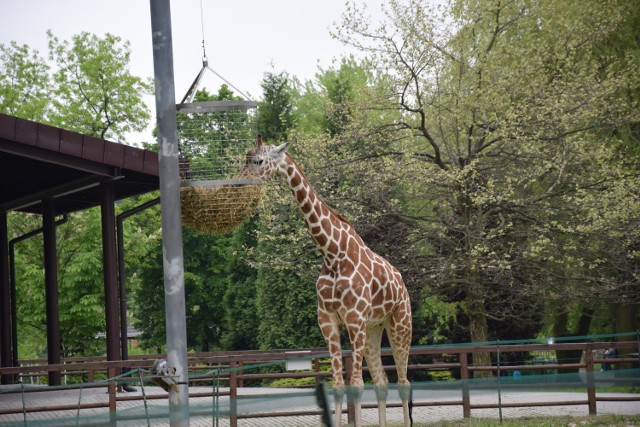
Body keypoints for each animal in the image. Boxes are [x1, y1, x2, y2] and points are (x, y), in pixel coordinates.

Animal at [242, 136, 412, 427]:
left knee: (403, 382)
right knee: (382, 381)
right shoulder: (328, 320)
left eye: (260, 161)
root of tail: (401, 282)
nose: (241, 182)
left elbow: (356, 385)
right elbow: (339, 385)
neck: (333, 254)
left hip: (400, 324)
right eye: (246, 158)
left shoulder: (354, 319)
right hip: (374, 328)